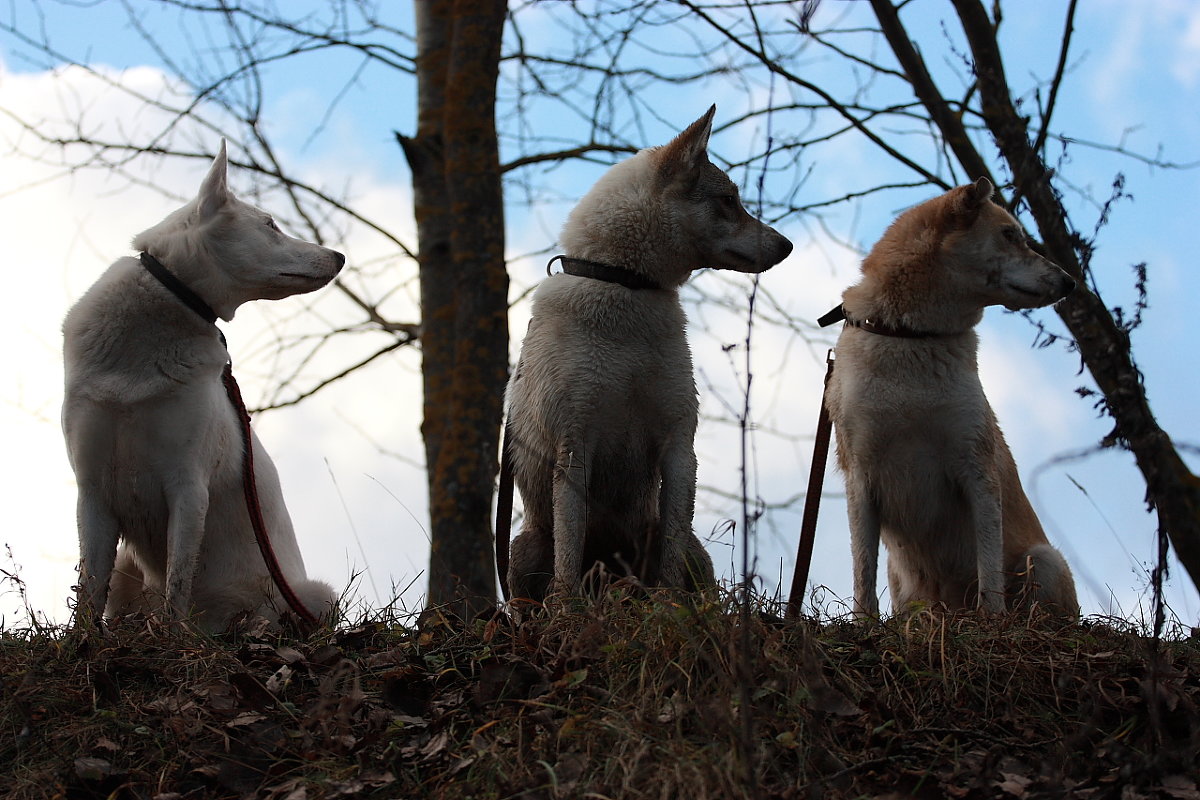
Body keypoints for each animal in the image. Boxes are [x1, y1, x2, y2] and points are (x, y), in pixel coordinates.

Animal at [63, 143, 345, 633]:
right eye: (270, 225)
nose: (339, 256)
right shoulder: (93, 491)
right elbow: (89, 589)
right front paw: (82, 644)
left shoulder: (189, 484)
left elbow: (179, 582)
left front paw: (173, 639)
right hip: (128, 567)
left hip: (313, 597)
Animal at [504, 109, 792, 604]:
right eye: (729, 200)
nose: (787, 245)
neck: (626, 284)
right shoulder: (574, 445)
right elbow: (569, 552)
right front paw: (569, 610)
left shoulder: (679, 444)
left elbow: (671, 552)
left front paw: (670, 605)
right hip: (525, 548)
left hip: (691, 550)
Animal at [825, 178, 1080, 618]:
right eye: (1010, 235)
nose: (1070, 282)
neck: (913, 335)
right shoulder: (860, 475)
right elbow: (862, 569)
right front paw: (864, 624)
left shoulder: (976, 467)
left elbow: (989, 568)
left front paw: (992, 621)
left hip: (1044, 560)